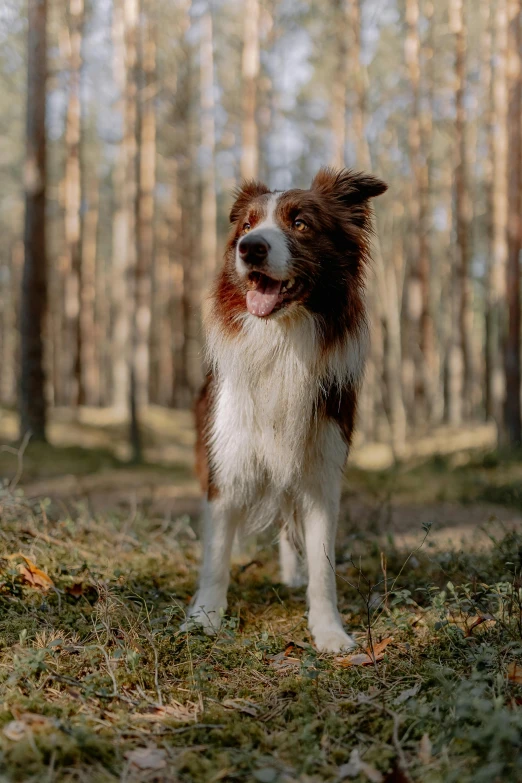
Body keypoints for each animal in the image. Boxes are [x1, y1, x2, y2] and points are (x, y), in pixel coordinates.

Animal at [183, 168, 386, 652]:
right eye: (246, 225)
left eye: (300, 224)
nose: (250, 247)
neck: (281, 341)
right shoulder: (226, 461)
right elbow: (216, 553)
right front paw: (204, 617)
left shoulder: (322, 468)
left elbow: (322, 562)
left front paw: (329, 631)